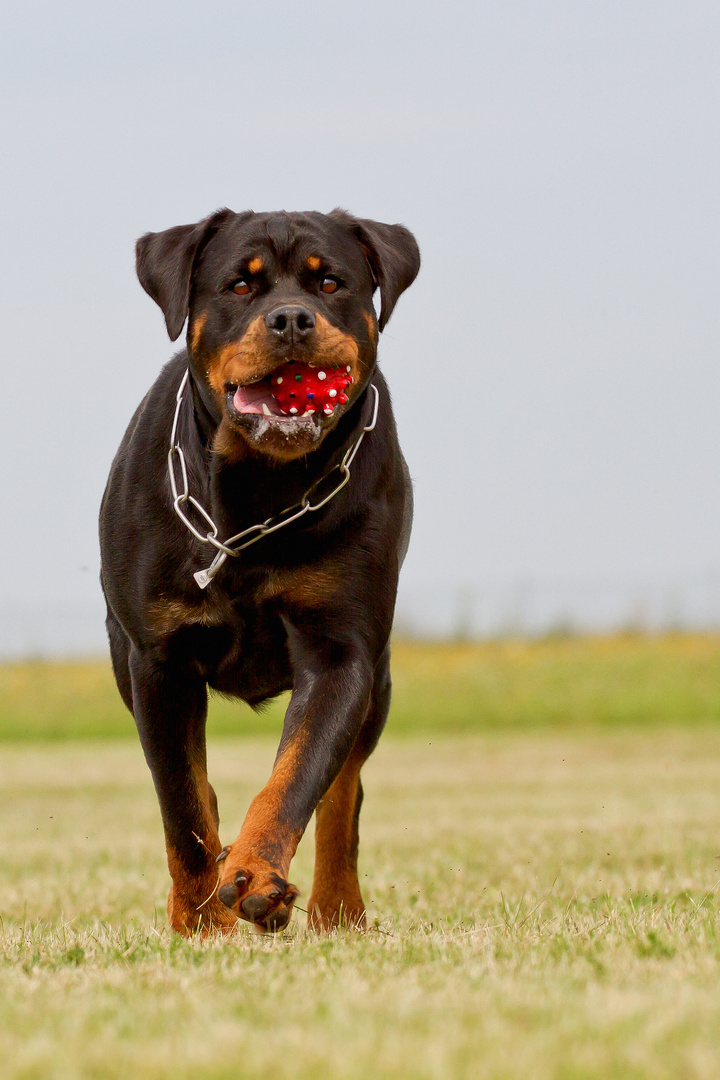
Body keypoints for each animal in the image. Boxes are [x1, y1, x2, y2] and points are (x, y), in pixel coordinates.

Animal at [98, 210, 418, 937]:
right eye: (239, 286)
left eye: (329, 282)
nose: (292, 319)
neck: (260, 493)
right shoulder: (158, 661)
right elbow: (183, 806)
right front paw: (199, 921)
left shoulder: (341, 653)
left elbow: (298, 778)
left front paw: (255, 876)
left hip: (380, 680)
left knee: (343, 793)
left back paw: (338, 909)